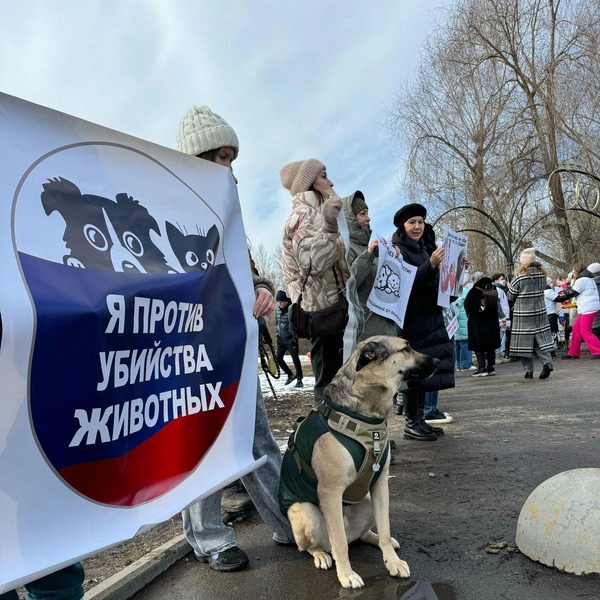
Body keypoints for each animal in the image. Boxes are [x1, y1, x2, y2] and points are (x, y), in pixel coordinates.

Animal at [278, 336, 438, 588]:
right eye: (406, 348)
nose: (439, 361)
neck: (366, 418)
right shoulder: (330, 491)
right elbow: (340, 543)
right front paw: (346, 574)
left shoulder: (380, 484)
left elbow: (385, 529)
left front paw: (392, 562)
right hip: (304, 510)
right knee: (314, 545)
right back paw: (321, 555)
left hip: (369, 501)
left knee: (364, 534)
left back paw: (376, 539)